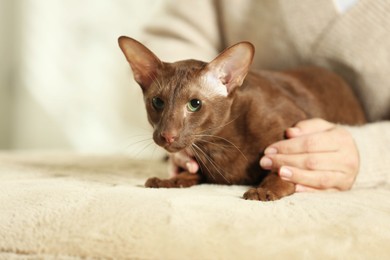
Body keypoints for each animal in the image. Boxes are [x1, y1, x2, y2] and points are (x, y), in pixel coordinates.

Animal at [118, 36, 366, 201]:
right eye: (158, 102)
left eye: (194, 104)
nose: (167, 135)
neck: (217, 145)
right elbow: (192, 173)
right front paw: (168, 181)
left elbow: (281, 170)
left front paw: (264, 191)